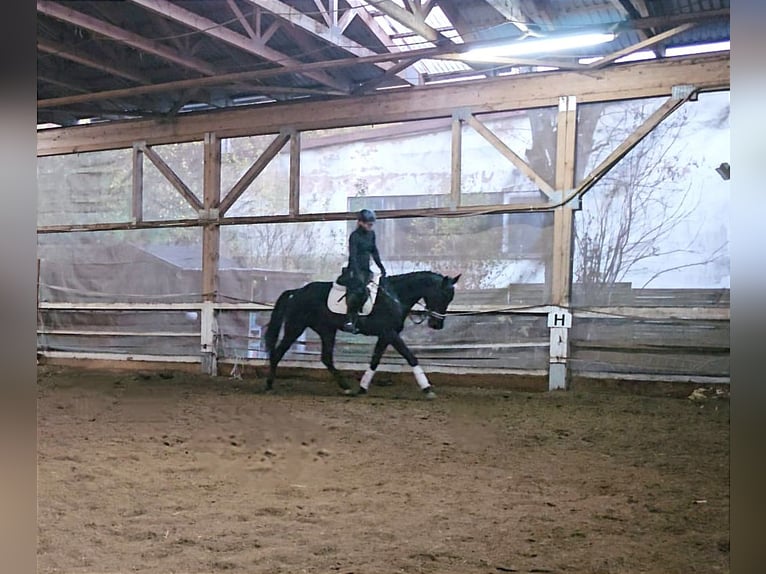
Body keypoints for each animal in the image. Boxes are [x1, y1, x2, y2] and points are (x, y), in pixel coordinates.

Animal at [262, 272, 462, 398]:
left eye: (451, 298)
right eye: (443, 295)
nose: (437, 325)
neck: (395, 296)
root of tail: (297, 292)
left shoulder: (386, 335)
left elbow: (375, 360)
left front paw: (363, 387)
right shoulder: (390, 333)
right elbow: (410, 357)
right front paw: (427, 389)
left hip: (327, 330)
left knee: (326, 358)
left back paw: (346, 388)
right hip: (296, 327)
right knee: (278, 353)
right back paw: (269, 386)